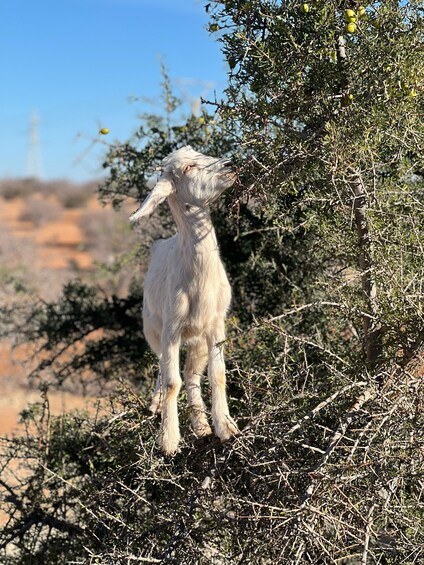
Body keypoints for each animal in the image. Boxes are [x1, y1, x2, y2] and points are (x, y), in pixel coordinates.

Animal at [130, 146, 239, 455]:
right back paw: (156, 407)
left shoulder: (216, 325)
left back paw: (201, 425)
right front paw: (168, 440)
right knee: (162, 367)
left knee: (192, 375)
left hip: (198, 340)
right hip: (152, 328)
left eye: (202, 153)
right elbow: (171, 381)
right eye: (188, 168)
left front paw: (225, 427)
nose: (230, 164)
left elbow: (217, 374)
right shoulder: (171, 329)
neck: (200, 283)